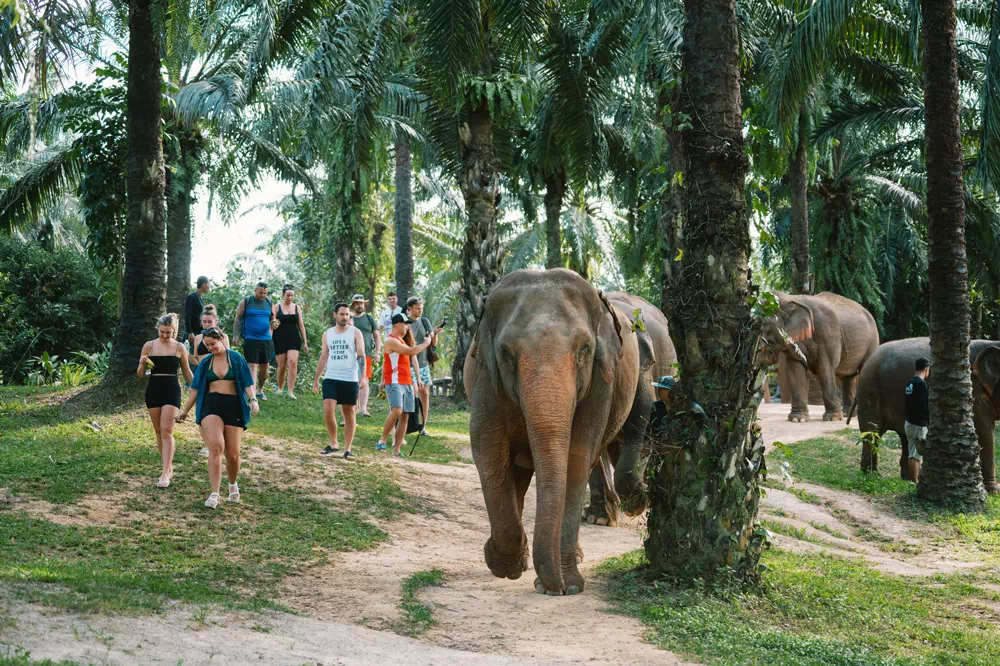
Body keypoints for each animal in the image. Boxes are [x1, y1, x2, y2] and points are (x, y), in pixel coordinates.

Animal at [463, 269, 642, 596]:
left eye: (584, 350)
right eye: (506, 353)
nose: (554, 586)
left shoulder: (600, 382)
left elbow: (578, 454)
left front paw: (567, 586)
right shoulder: (486, 377)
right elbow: (488, 449)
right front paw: (506, 566)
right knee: (517, 473)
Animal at [761, 291, 879, 422]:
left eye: (770, 340)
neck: (792, 298)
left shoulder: (828, 332)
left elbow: (825, 367)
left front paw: (832, 418)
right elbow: (796, 369)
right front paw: (798, 419)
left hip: (873, 341)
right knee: (848, 377)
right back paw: (846, 414)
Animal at [848, 338, 1000, 494]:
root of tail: (870, 357)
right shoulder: (973, 389)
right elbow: (984, 431)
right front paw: (993, 491)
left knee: (902, 438)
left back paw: (904, 479)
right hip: (869, 391)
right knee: (872, 434)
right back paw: (872, 475)